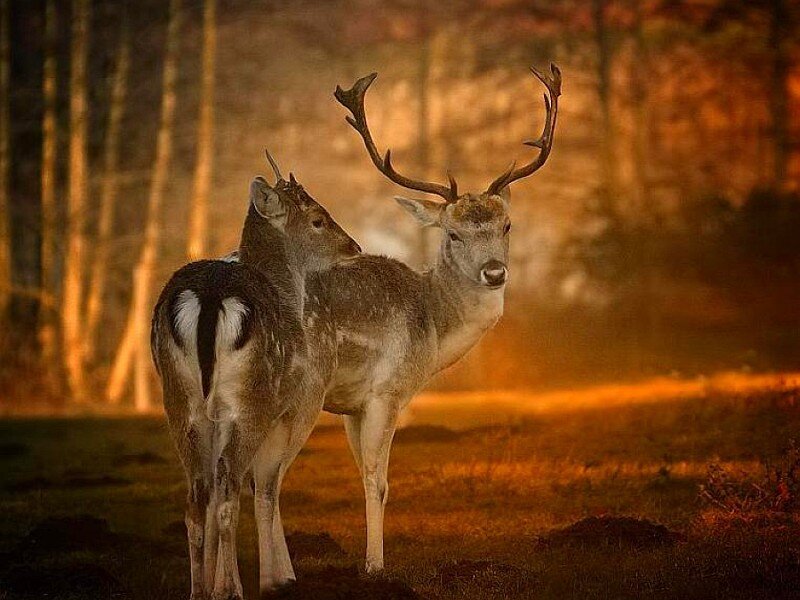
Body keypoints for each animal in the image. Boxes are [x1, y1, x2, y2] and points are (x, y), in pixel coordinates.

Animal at [151, 153, 361, 600]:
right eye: (318, 219)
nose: (354, 246)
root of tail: (211, 297)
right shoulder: (283, 406)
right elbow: (264, 486)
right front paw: (271, 580)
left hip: (180, 403)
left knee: (198, 495)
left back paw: (198, 590)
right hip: (248, 402)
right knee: (229, 490)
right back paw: (230, 590)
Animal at [307, 64, 561, 573]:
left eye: (507, 225)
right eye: (452, 233)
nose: (494, 272)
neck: (431, 330)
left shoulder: (349, 405)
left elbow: (361, 474)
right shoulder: (385, 391)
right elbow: (377, 480)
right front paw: (374, 567)